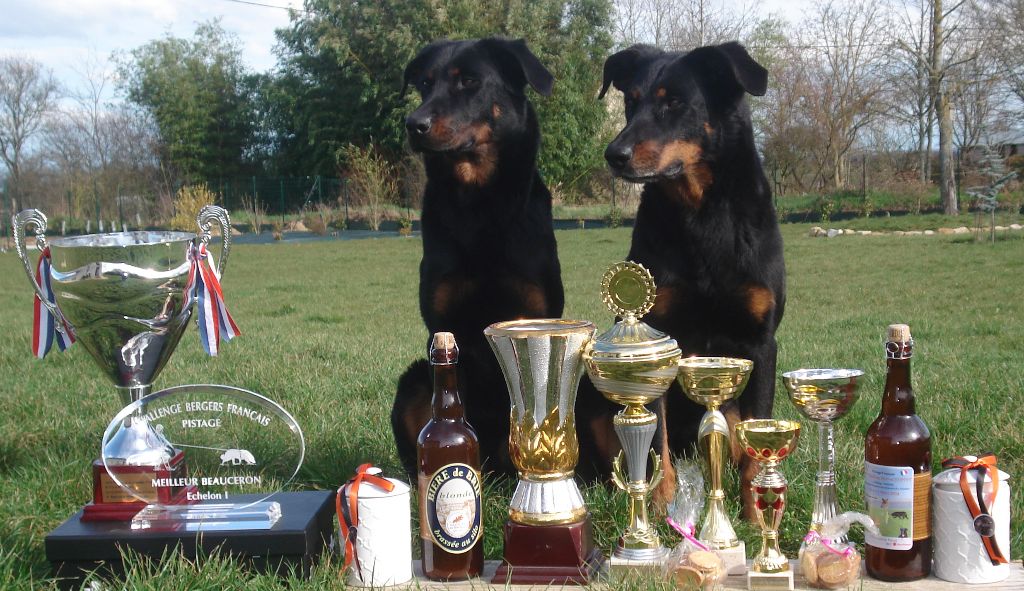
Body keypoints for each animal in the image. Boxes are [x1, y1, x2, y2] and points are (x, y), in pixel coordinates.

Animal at [593, 43, 782, 510]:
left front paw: (756, 510)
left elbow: (759, 432)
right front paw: (661, 502)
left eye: (675, 102)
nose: (614, 154)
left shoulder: (761, 341)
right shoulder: (658, 337)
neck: (702, 214)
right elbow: (654, 435)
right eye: (631, 101)